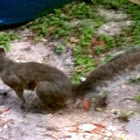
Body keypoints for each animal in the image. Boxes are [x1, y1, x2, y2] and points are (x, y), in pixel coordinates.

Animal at [0, 46, 140, 110]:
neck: (5, 64)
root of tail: (70, 92)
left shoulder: (15, 81)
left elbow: (19, 93)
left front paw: (22, 104)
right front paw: (4, 92)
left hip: (43, 88)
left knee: (57, 106)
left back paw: (41, 107)